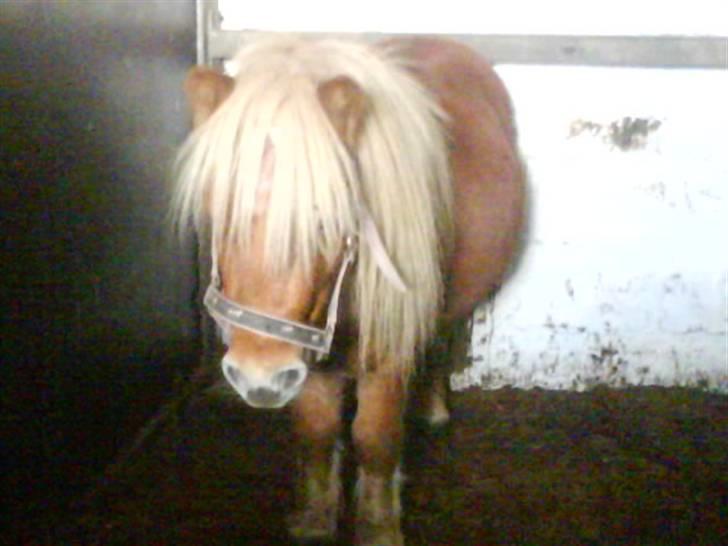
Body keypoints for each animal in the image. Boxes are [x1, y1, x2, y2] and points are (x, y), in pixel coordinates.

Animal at [173, 34, 525, 546]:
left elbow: (375, 440)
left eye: (326, 222)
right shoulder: (306, 355)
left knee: (441, 341)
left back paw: (434, 409)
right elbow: (317, 432)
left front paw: (378, 527)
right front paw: (314, 518)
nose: (258, 378)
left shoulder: (388, 352)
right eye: (217, 214)